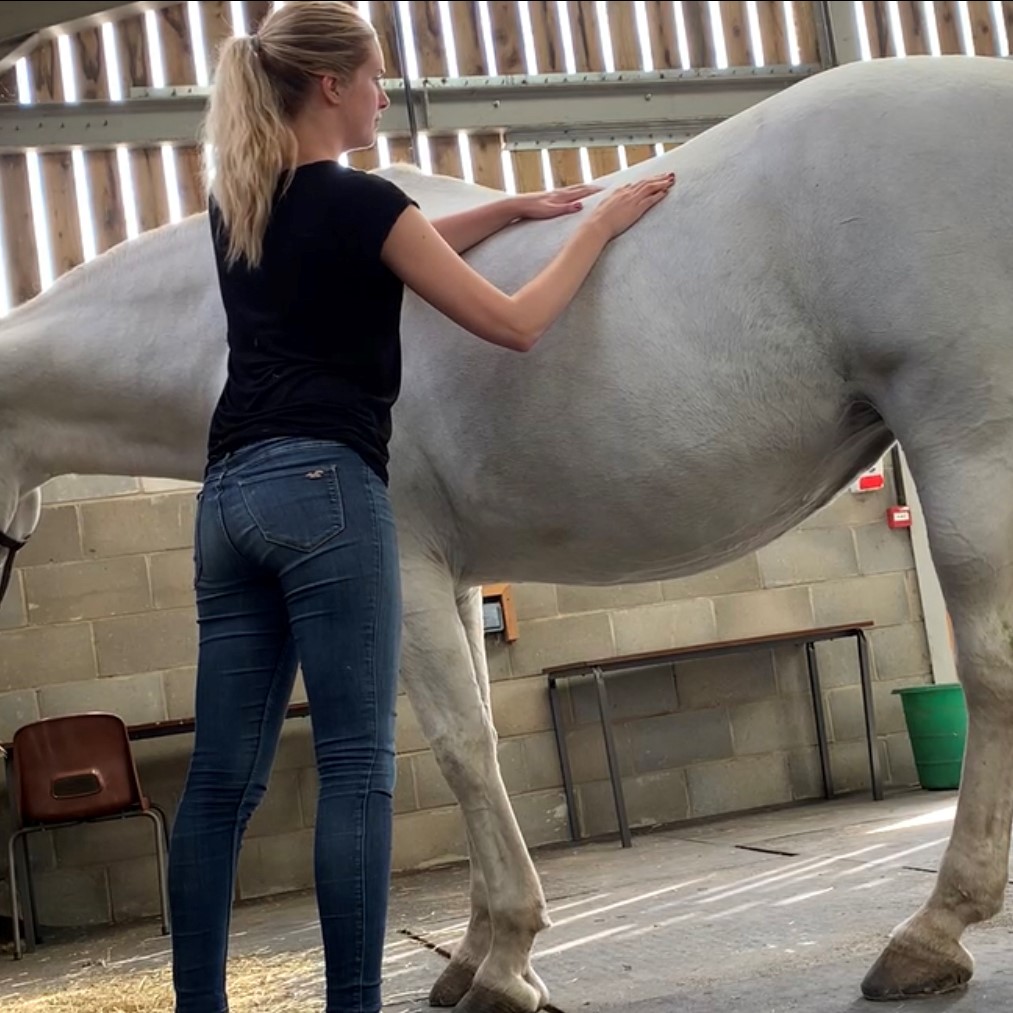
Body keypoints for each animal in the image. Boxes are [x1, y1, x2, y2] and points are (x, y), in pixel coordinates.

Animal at [1, 53, 1013, 1013]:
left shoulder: (403, 570)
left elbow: (460, 747)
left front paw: (505, 965)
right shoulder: (450, 579)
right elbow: (476, 740)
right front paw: (476, 954)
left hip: (966, 448)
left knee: (990, 673)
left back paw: (930, 933)